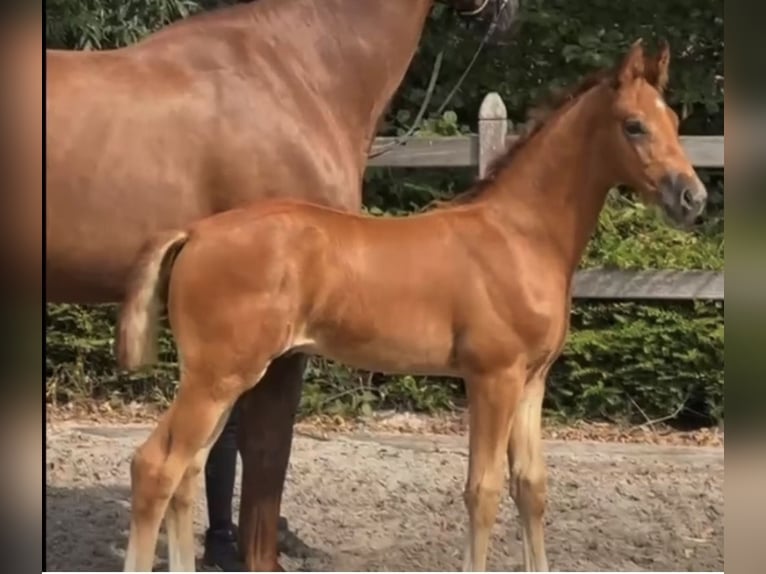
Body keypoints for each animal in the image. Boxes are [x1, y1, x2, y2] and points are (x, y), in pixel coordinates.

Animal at [115, 39, 707, 572]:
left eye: (675, 119)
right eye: (634, 125)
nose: (693, 199)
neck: (520, 235)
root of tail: (195, 233)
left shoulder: (533, 381)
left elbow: (531, 488)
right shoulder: (493, 378)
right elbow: (483, 490)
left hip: (226, 377)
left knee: (186, 474)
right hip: (217, 376)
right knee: (155, 467)